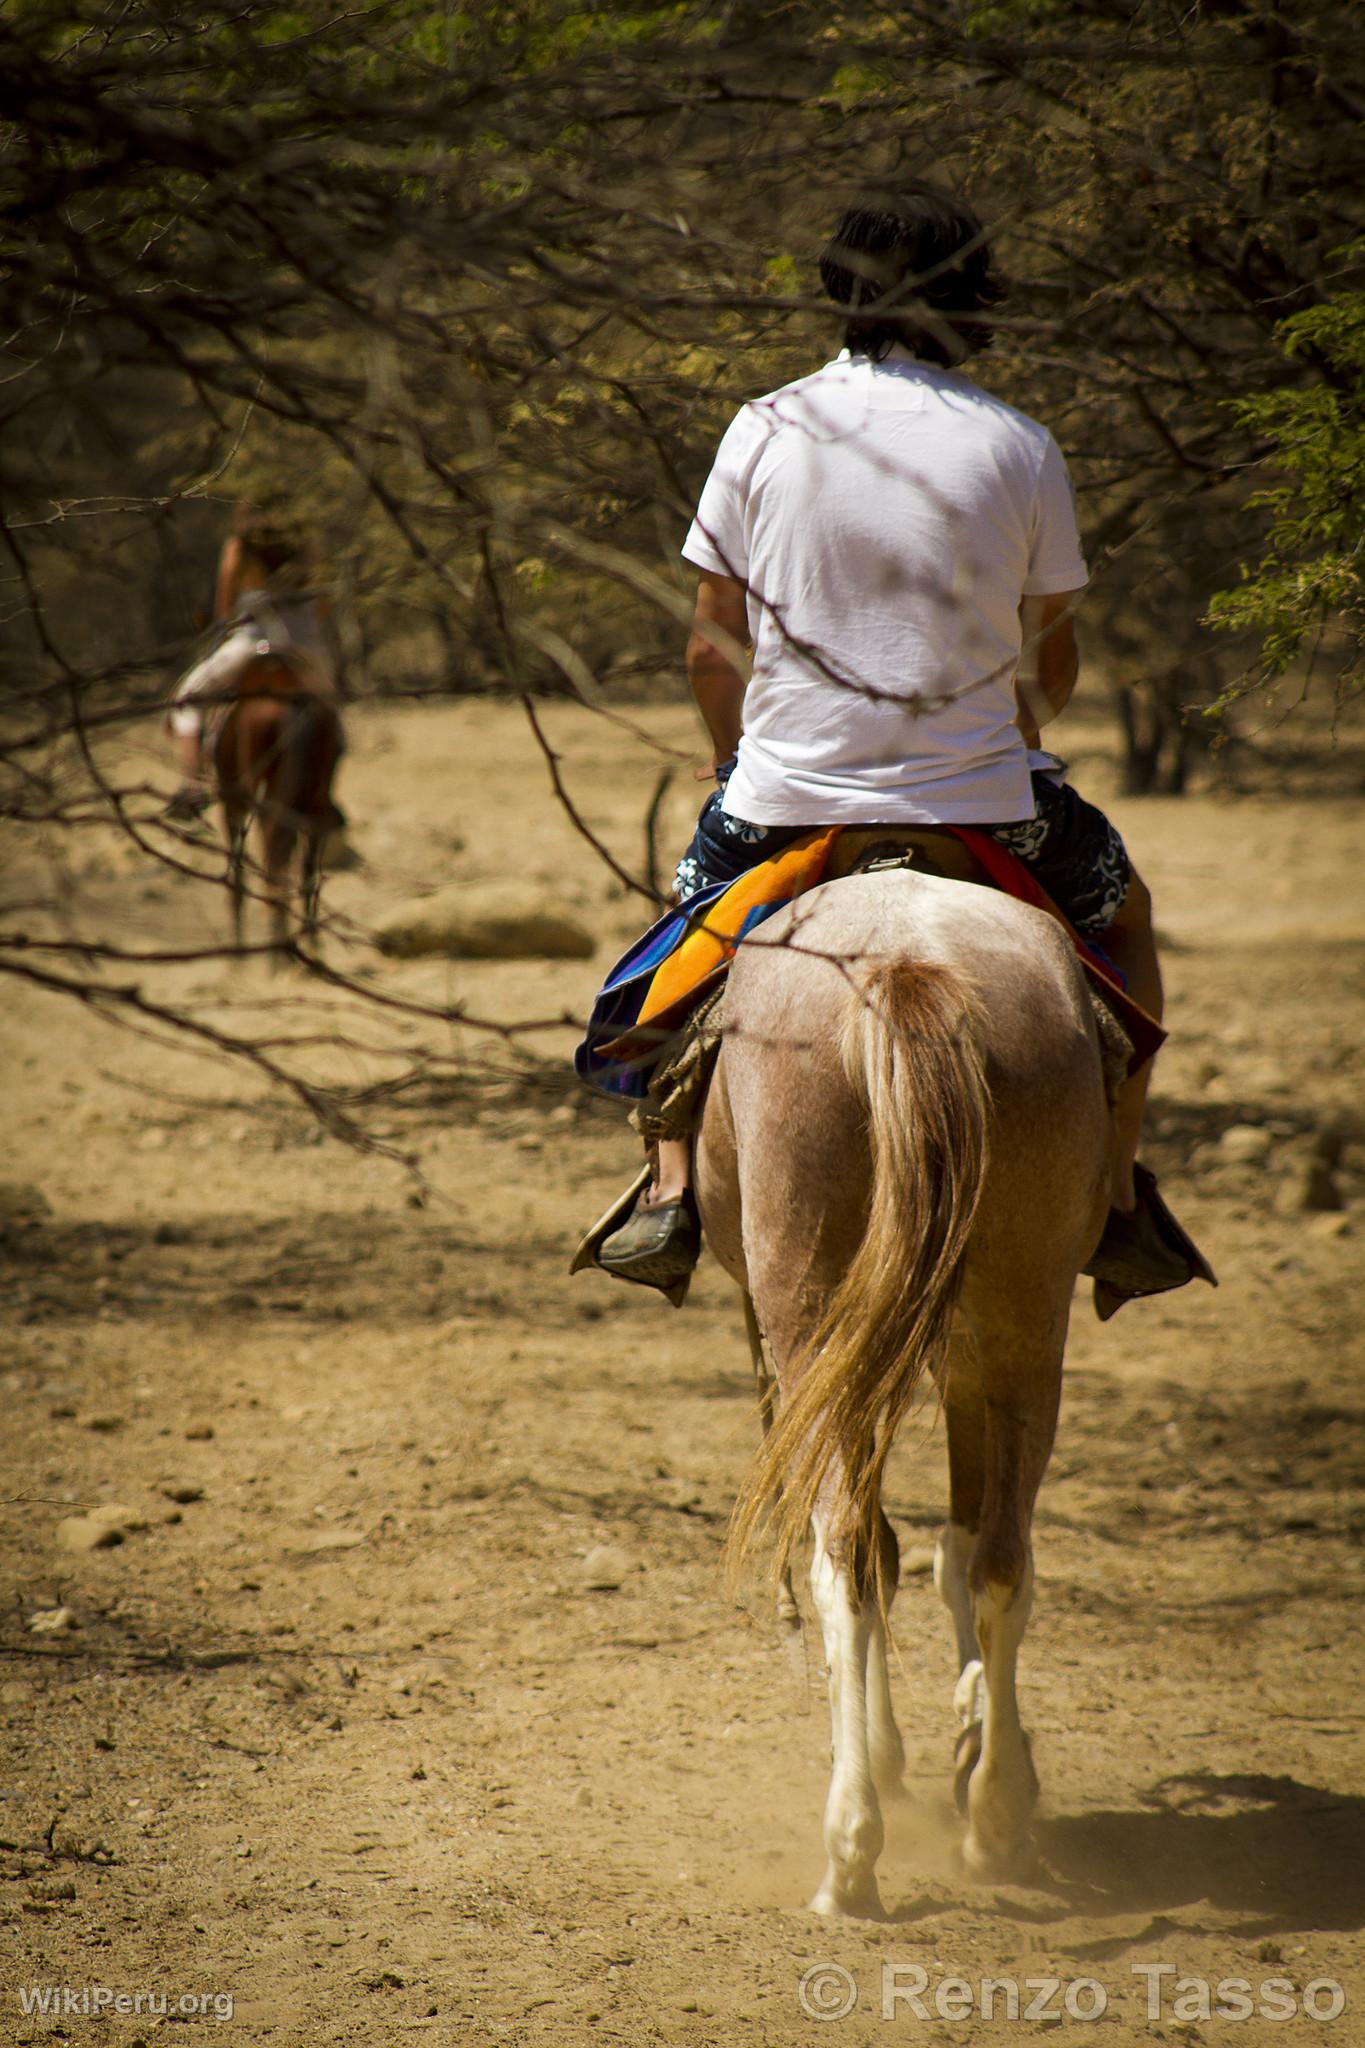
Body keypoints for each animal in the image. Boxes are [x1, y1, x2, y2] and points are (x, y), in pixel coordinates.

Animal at [210, 657, 343, 958]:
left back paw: (278, 952)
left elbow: (237, 876)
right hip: (312, 803)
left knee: (273, 865)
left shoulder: (233, 803)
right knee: (304, 870)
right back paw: (305, 945)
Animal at [694, 865, 1112, 1918]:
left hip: (809, 1311)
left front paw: (904, 1751)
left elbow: (891, 1549)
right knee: (1000, 1557)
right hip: (1022, 1313)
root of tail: (904, 967)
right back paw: (991, 1816)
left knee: (846, 1554)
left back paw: (856, 1847)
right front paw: (975, 1740)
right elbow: (950, 1547)